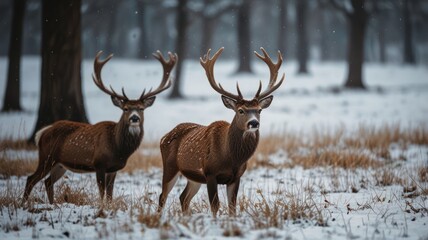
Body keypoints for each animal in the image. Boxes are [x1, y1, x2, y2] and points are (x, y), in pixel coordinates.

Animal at [23, 50, 177, 204]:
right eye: (125, 109)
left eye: (141, 108)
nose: (134, 118)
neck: (118, 148)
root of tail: (42, 132)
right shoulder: (99, 163)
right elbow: (102, 194)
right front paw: (102, 206)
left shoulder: (114, 169)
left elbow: (110, 195)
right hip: (47, 157)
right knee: (30, 179)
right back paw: (24, 203)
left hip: (60, 164)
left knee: (48, 182)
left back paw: (52, 204)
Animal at [157, 47, 284, 217]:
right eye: (241, 110)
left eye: (259, 110)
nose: (254, 123)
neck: (231, 158)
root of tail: (164, 137)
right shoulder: (210, 172)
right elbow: (215, 205)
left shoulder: (236, 177)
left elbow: (232, 207)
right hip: (170, 166)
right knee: (162, 196)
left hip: (194, 177)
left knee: (183, 197)